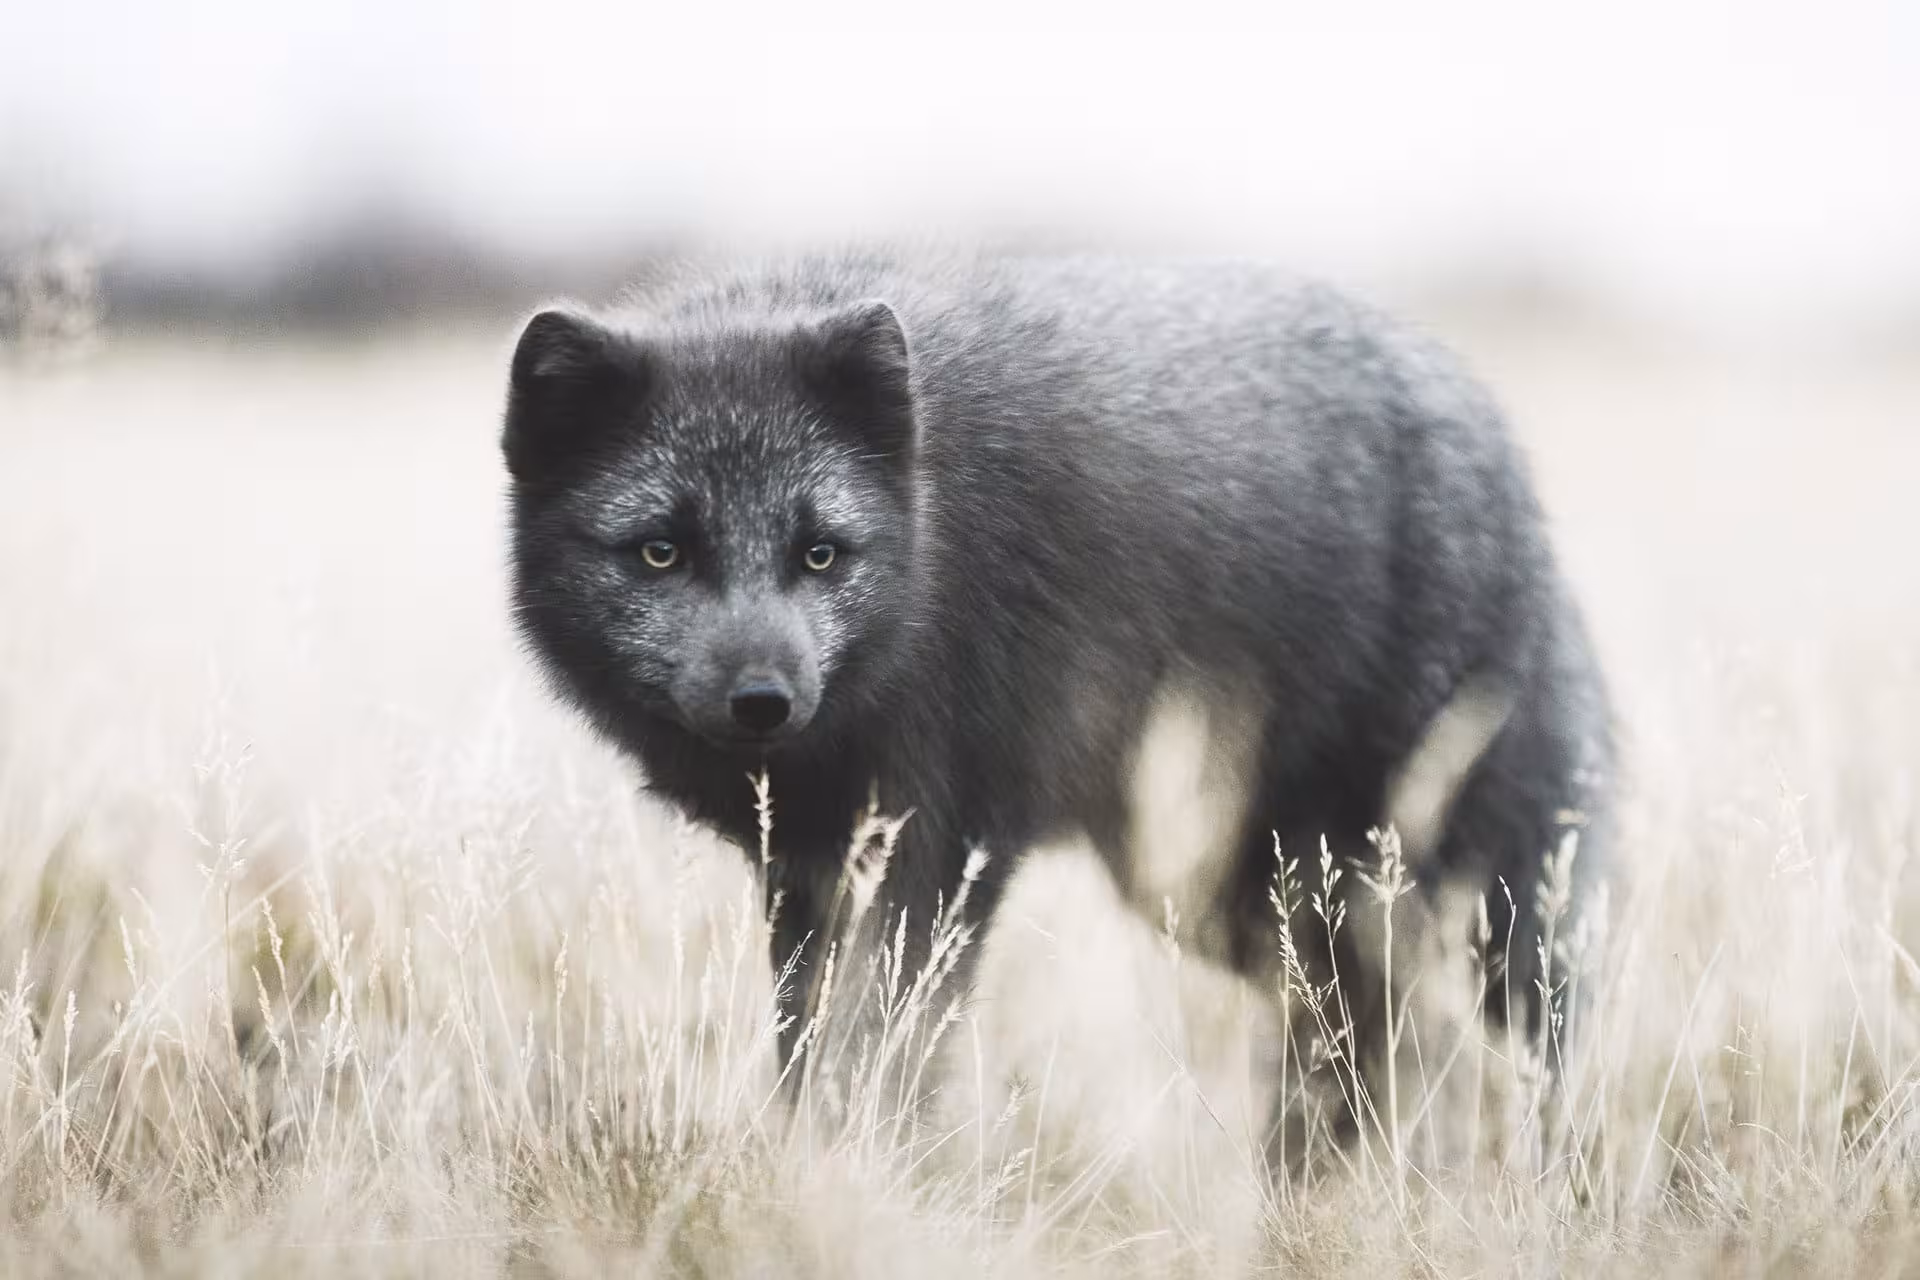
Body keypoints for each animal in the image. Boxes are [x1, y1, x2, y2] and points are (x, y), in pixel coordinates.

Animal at [500, 248, 1613, 1149]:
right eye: (661, 551)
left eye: (819, 553)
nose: (763, 701)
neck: (930, 538)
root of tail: (1490, 432)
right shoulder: (806, 872)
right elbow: (807, 1052)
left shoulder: (940, 853)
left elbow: (881, 1057)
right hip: (1244, 896)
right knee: (1359, 1041)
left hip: (1425, 890)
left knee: (1499, 1038)